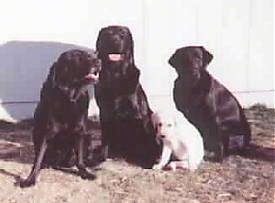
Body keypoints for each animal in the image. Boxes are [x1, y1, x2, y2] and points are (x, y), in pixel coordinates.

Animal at [19, 49, 101, 187]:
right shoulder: (45, 132)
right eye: (77, 56)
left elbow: (80, 159)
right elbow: (38, 158)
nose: (98, 60)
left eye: (88, 54)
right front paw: (31, 179)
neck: (69, 98)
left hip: (88, 136)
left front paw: (84, 173)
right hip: (36, 133)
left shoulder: (80, 131)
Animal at [95, 26, 161, 167]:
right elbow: (105, 139)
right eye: (108, 34)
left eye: (122, 35)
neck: (115, 76)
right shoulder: (104, 111)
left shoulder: (135, 113)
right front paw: (101, 157)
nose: (115, 41)